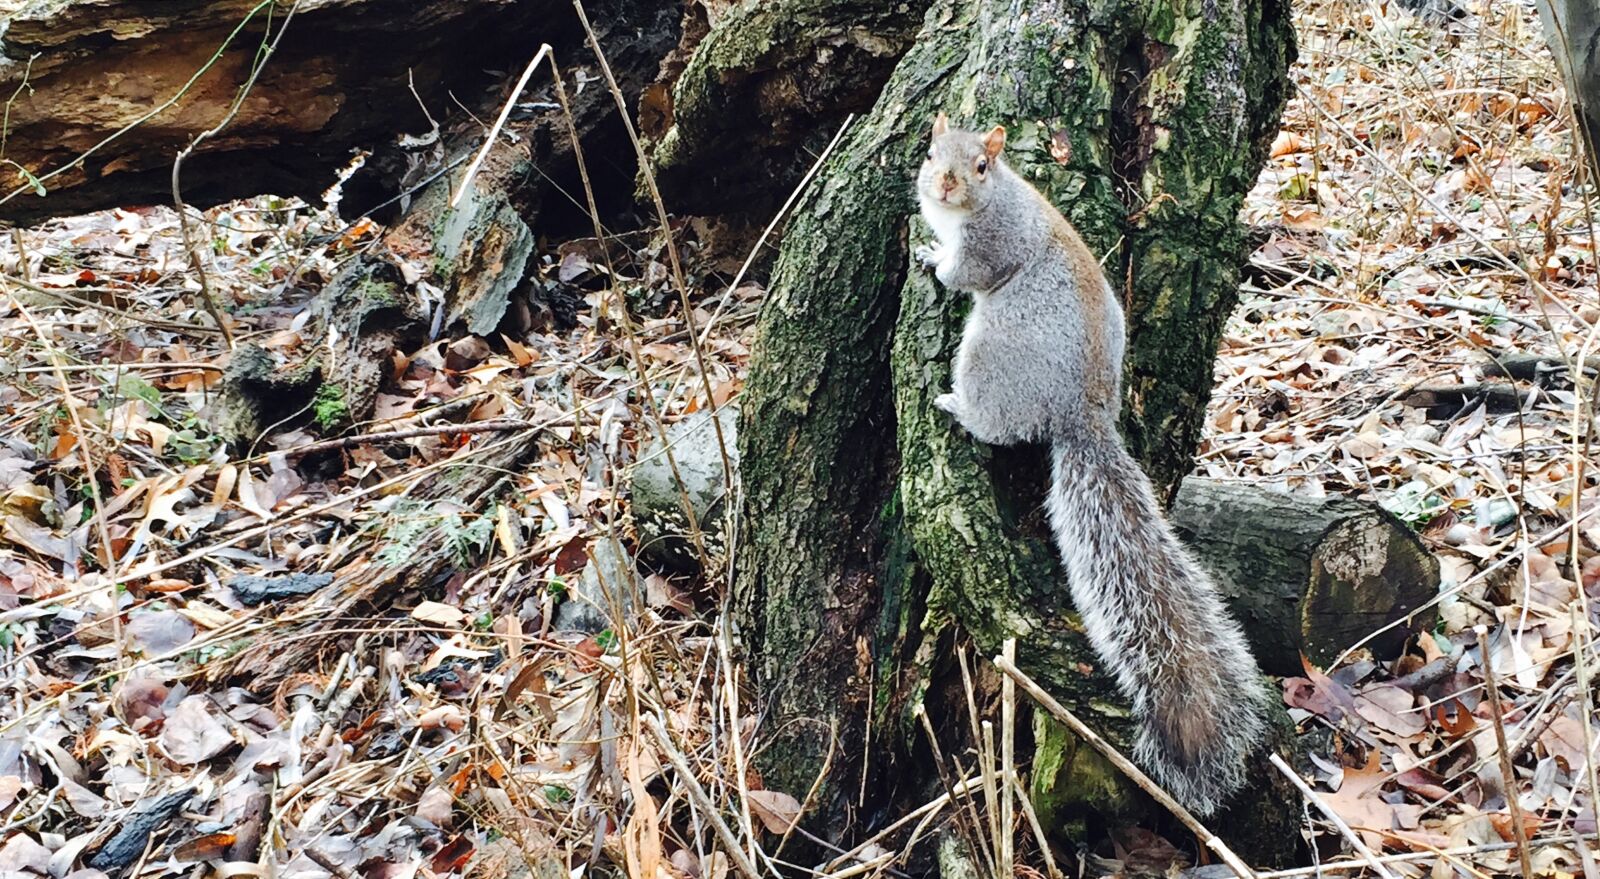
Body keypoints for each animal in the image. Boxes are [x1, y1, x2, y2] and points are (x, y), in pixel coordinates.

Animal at [914, 113, 1268, 815]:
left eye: (981, 166)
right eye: (931, 152)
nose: (942, 184)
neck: (990, 201)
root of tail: (1085, 412)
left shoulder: (989, 245)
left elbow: (962, 273)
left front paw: (932, 258)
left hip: (990, 356)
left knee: (998, 425)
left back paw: (956, 406)